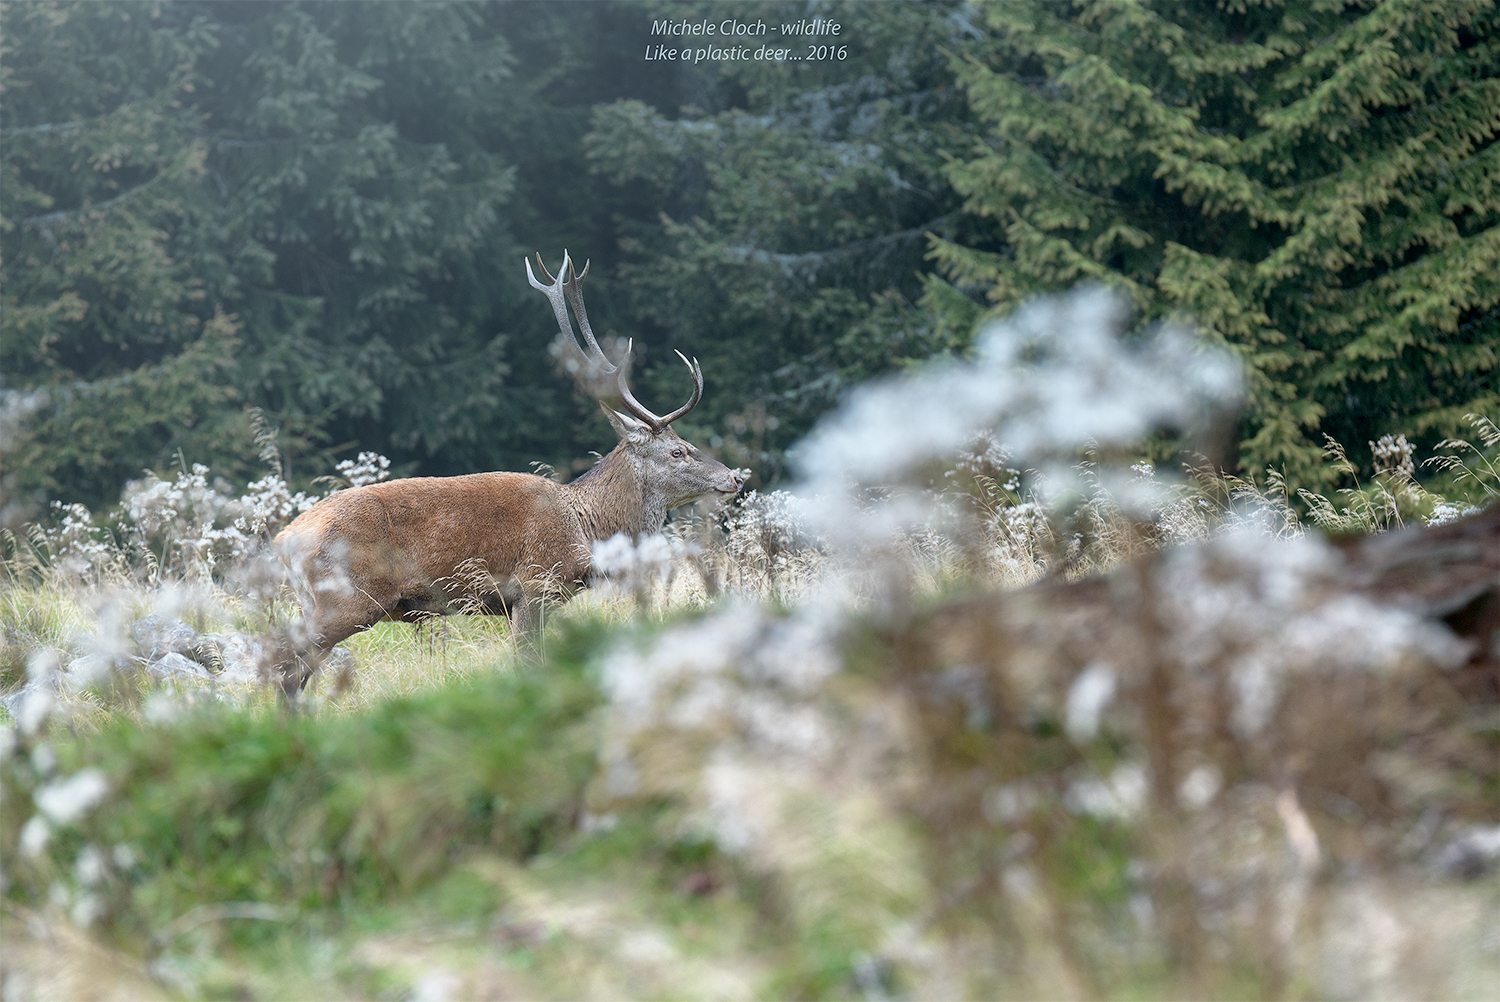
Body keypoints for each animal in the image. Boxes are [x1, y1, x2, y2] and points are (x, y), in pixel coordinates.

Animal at [271, 251, 744, 696]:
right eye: (679, 451)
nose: (736, 478)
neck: (586, 530)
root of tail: (284, 540)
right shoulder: (535, 584)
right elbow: (530, 664)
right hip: (348, 599)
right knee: (283, 660)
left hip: (315, 602)